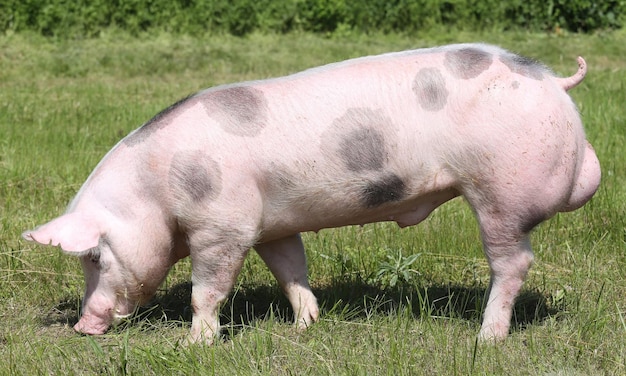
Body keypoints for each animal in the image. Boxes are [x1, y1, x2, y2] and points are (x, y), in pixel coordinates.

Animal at [23, 42, 600, 342]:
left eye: (94, 256)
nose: (82, 325)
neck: (156, 189)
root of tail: (554, 82)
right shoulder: (269, 223)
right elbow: (291, 270)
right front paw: (306, 325)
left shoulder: (223, 225)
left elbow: (206, 289)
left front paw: (196, 344)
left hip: (500, 189)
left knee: (514, 262)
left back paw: (486, 337)